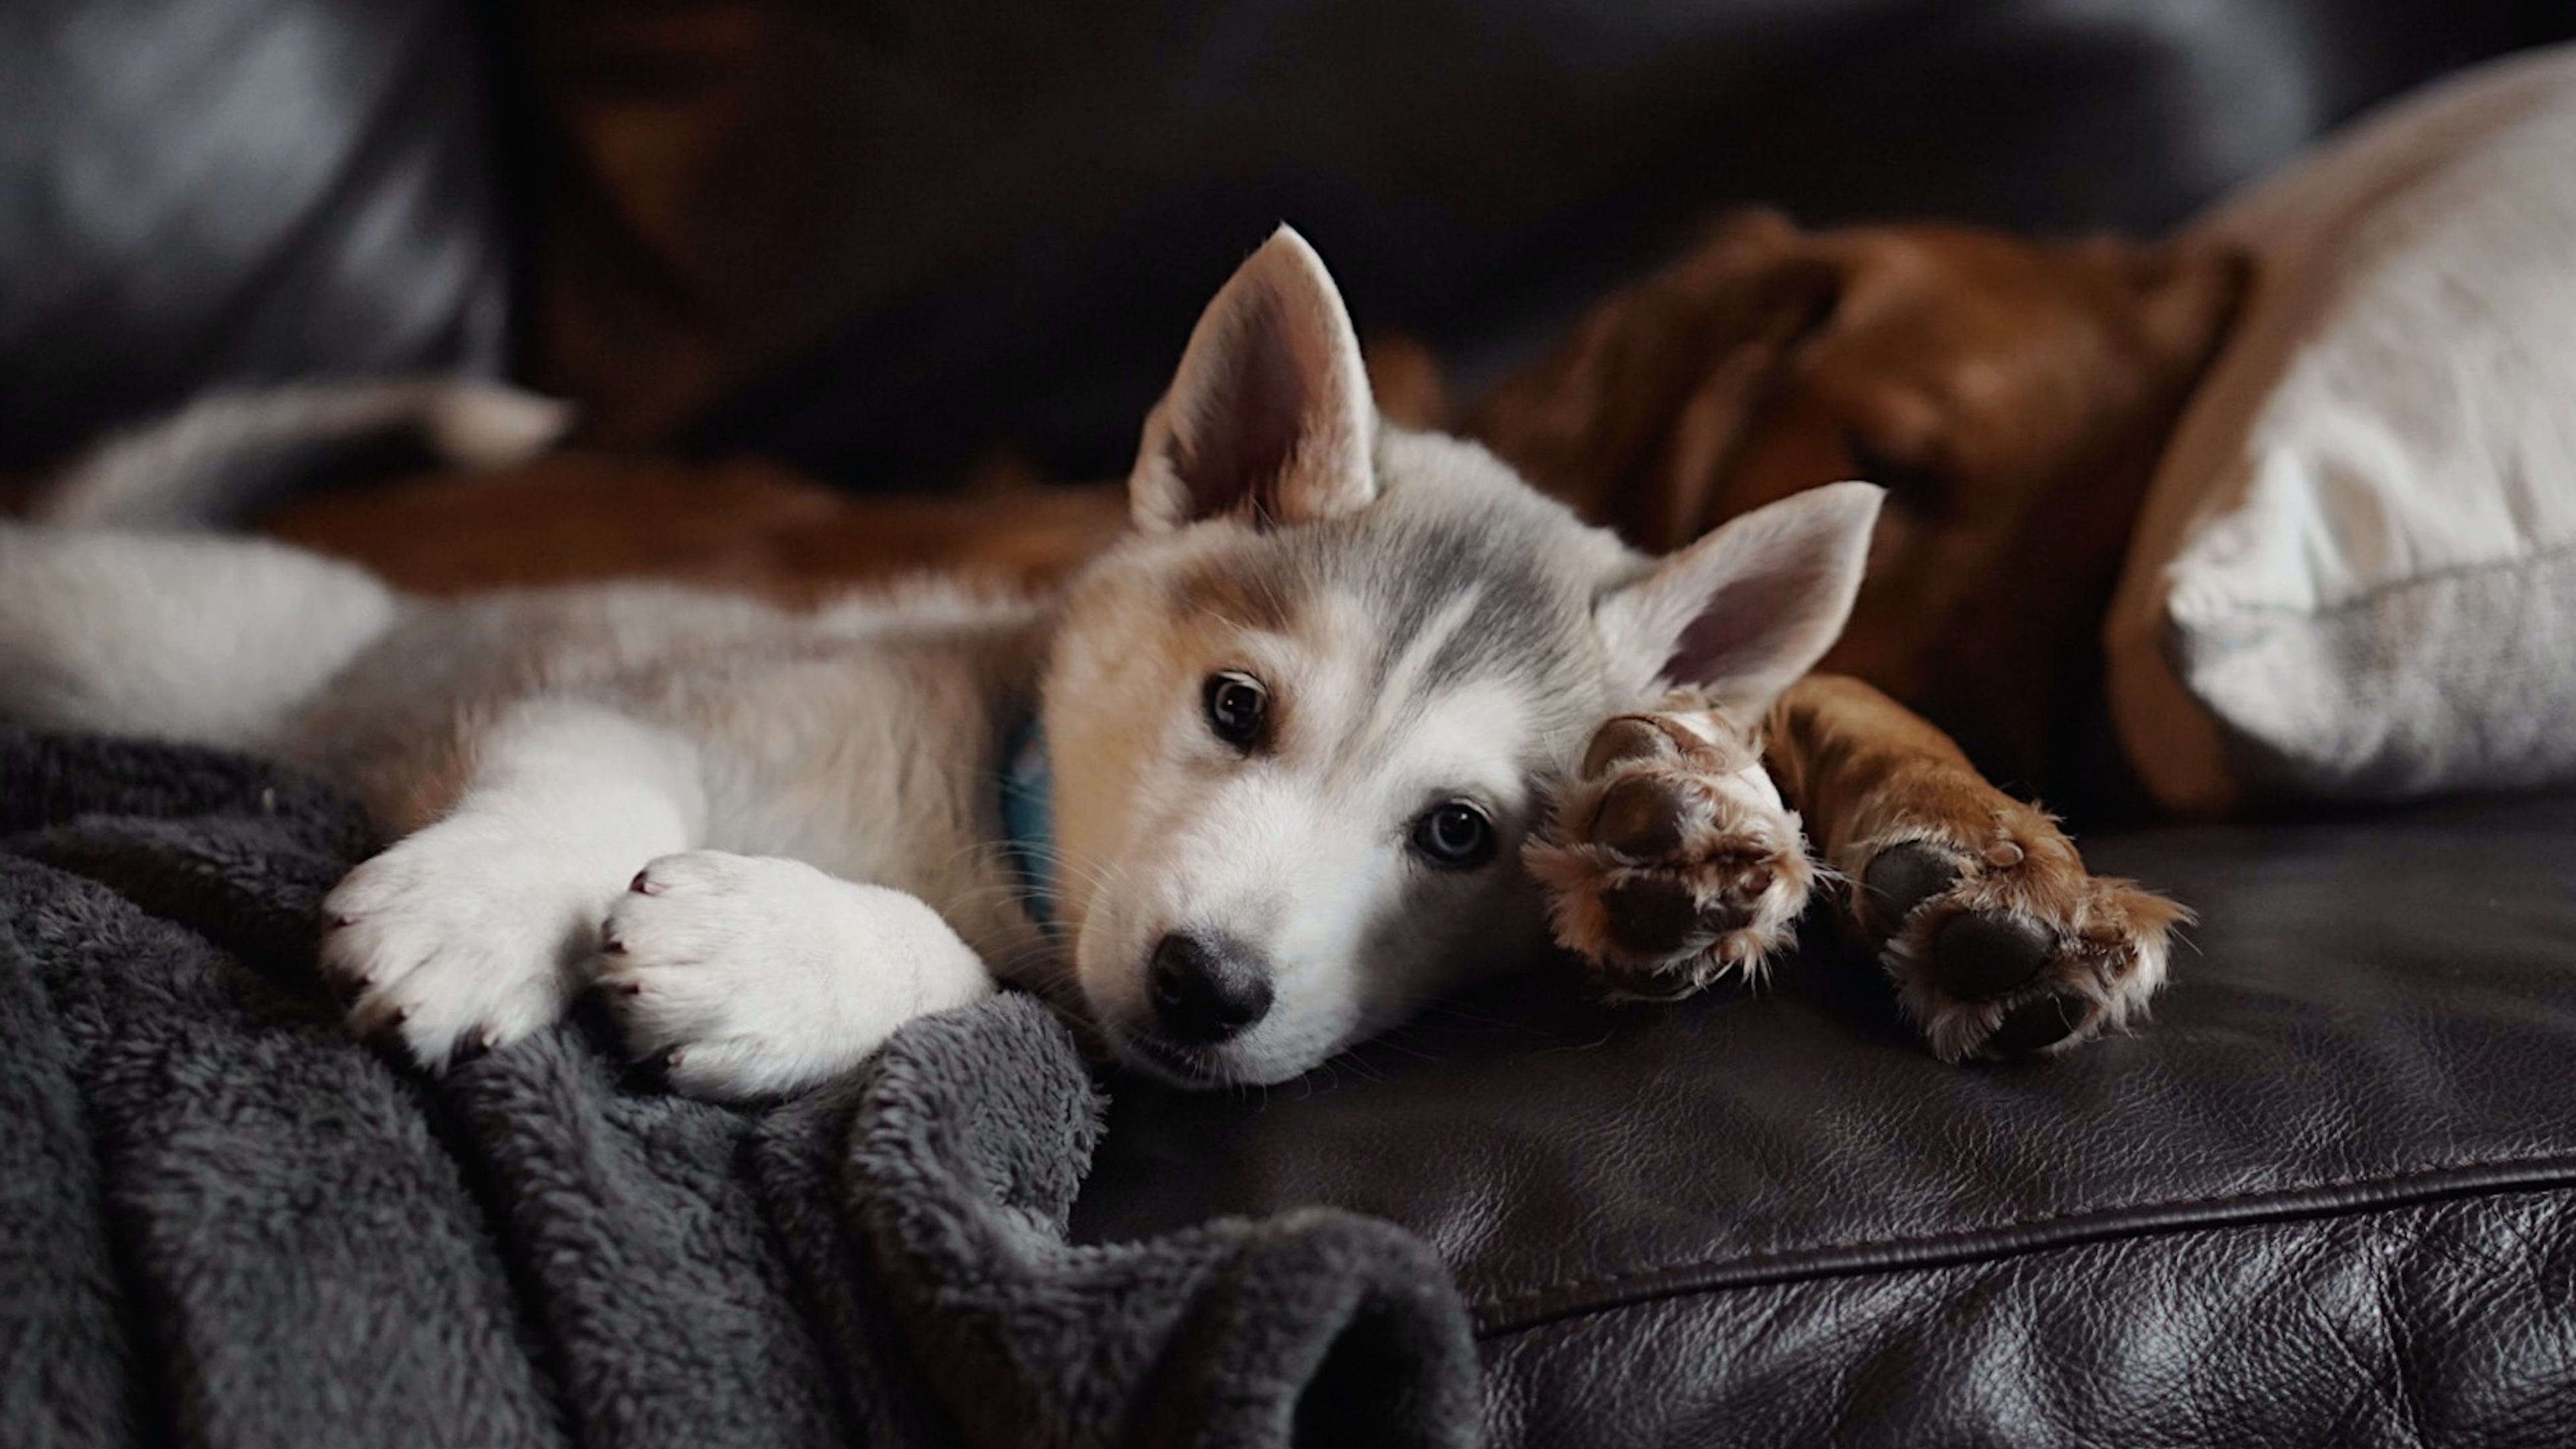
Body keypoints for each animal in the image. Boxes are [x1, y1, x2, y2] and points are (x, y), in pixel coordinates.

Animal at [0, 228, 1875, 1093]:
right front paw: (478, 910)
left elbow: (976, 985)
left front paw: (774, 957)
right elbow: (579, 780)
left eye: (1460, 834)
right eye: (1236, 706)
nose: (1208, 987)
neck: (994, 821)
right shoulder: (656, 693)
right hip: (156, 642)